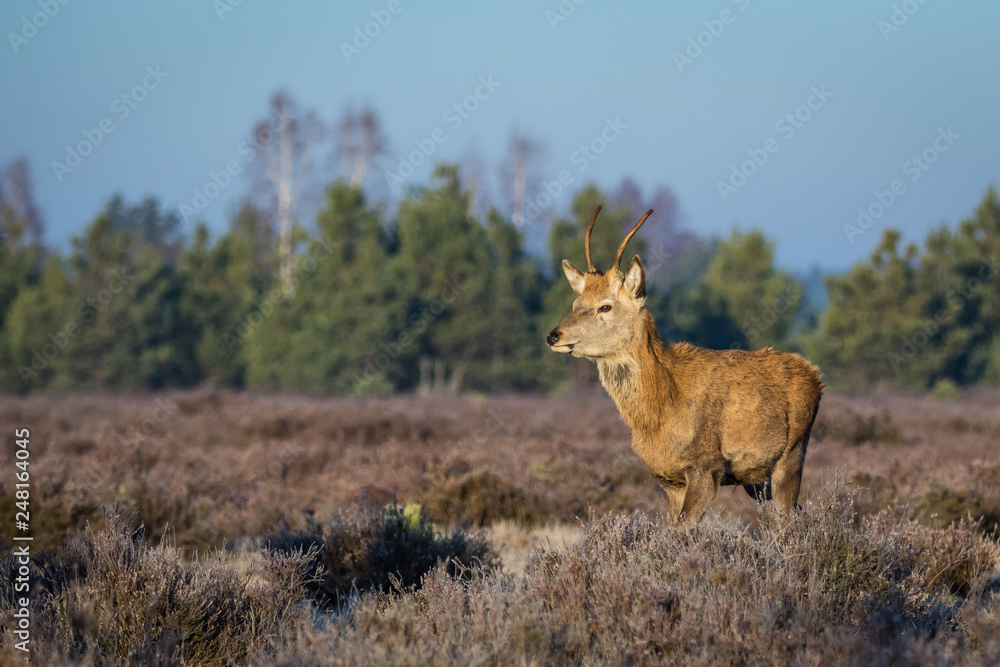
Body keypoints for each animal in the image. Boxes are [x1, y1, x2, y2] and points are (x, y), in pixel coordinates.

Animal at [548, 207, 820, 520]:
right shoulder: (667, 477)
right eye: (575, 304)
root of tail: (816, 376)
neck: (661, 411)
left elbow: (683, 528)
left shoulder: (706, 465)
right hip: (756, 477)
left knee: (788, 517)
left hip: (793, 454)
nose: (553, 335)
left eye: (605, 306)